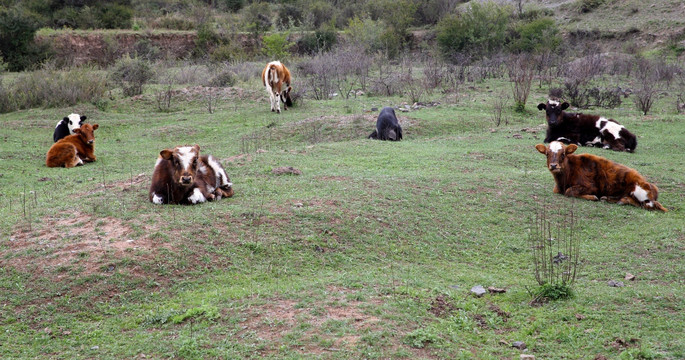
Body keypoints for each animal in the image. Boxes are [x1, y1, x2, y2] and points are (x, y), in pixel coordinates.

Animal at [536, 141, 664, 211]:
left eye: (563, 154)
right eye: (547, 154)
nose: (553, 166)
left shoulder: (591, 186)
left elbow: (569, 191)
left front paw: (592, 197)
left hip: (640, 192)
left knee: (645, 205)